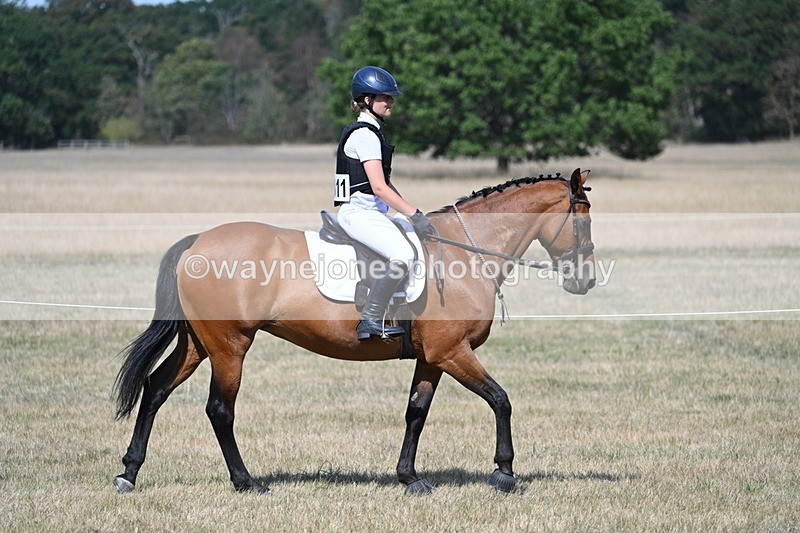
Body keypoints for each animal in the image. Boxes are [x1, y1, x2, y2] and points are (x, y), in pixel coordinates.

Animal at [113, 168, 596, 495]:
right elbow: (500, 399)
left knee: (155, 390)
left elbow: (416, 413)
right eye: (585, 221)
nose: (586, 281)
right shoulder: (453, 352)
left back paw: (129, 472)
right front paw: (504, 472)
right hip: (230, 346)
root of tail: (198, 241)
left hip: (198, 344)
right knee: (219, 410)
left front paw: (409, 478)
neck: (466, 253)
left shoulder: (431, 358)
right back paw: (246, 481)